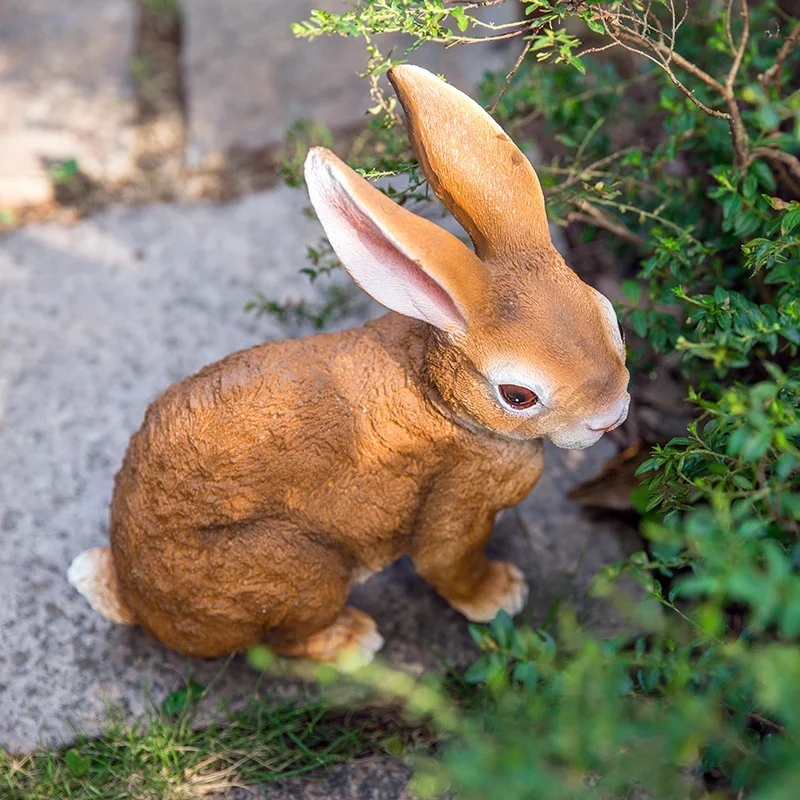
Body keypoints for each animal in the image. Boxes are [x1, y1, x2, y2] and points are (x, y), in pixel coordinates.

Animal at [69, 64, 628, 664]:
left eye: (612, 318)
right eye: (518, 396)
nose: (613, 415)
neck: (442, 396)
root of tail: (139, 601)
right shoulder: (455, 504)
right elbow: (447, 565)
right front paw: (502, 596)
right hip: (296, 572)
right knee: (287, 639)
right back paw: (353, 641)